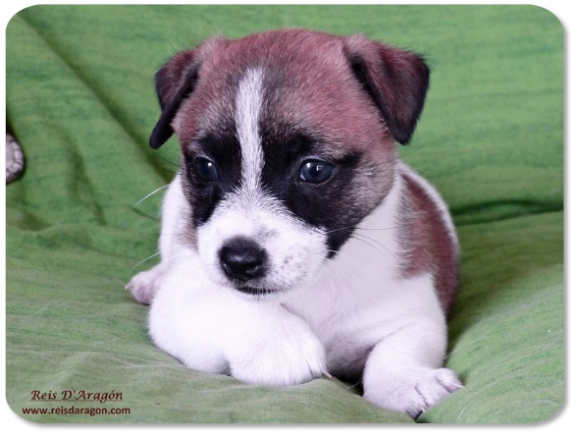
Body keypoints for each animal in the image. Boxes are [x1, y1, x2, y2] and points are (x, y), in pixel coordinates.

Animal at [127, 29, 462, 420]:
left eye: (314, 169)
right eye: (205, 167)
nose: (238, 261)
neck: (318, 281)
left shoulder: (413, 311)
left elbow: (396, 348)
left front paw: (406, 381)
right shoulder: (181, 304)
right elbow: (230, 305)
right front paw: (280, 346)